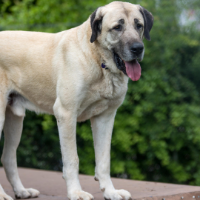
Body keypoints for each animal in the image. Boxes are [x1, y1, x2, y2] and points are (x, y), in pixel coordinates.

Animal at [0, 1, 154, 200]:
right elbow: (72, 159)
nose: (138, 48)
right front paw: (76, 192)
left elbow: (104, 160)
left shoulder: (105, 117)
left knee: (8, 157)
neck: (98, 60)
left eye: (139, 25)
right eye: (117, 27)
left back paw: (21, 190)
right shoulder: (66, 113)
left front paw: (110, 192)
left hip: (15, 120)